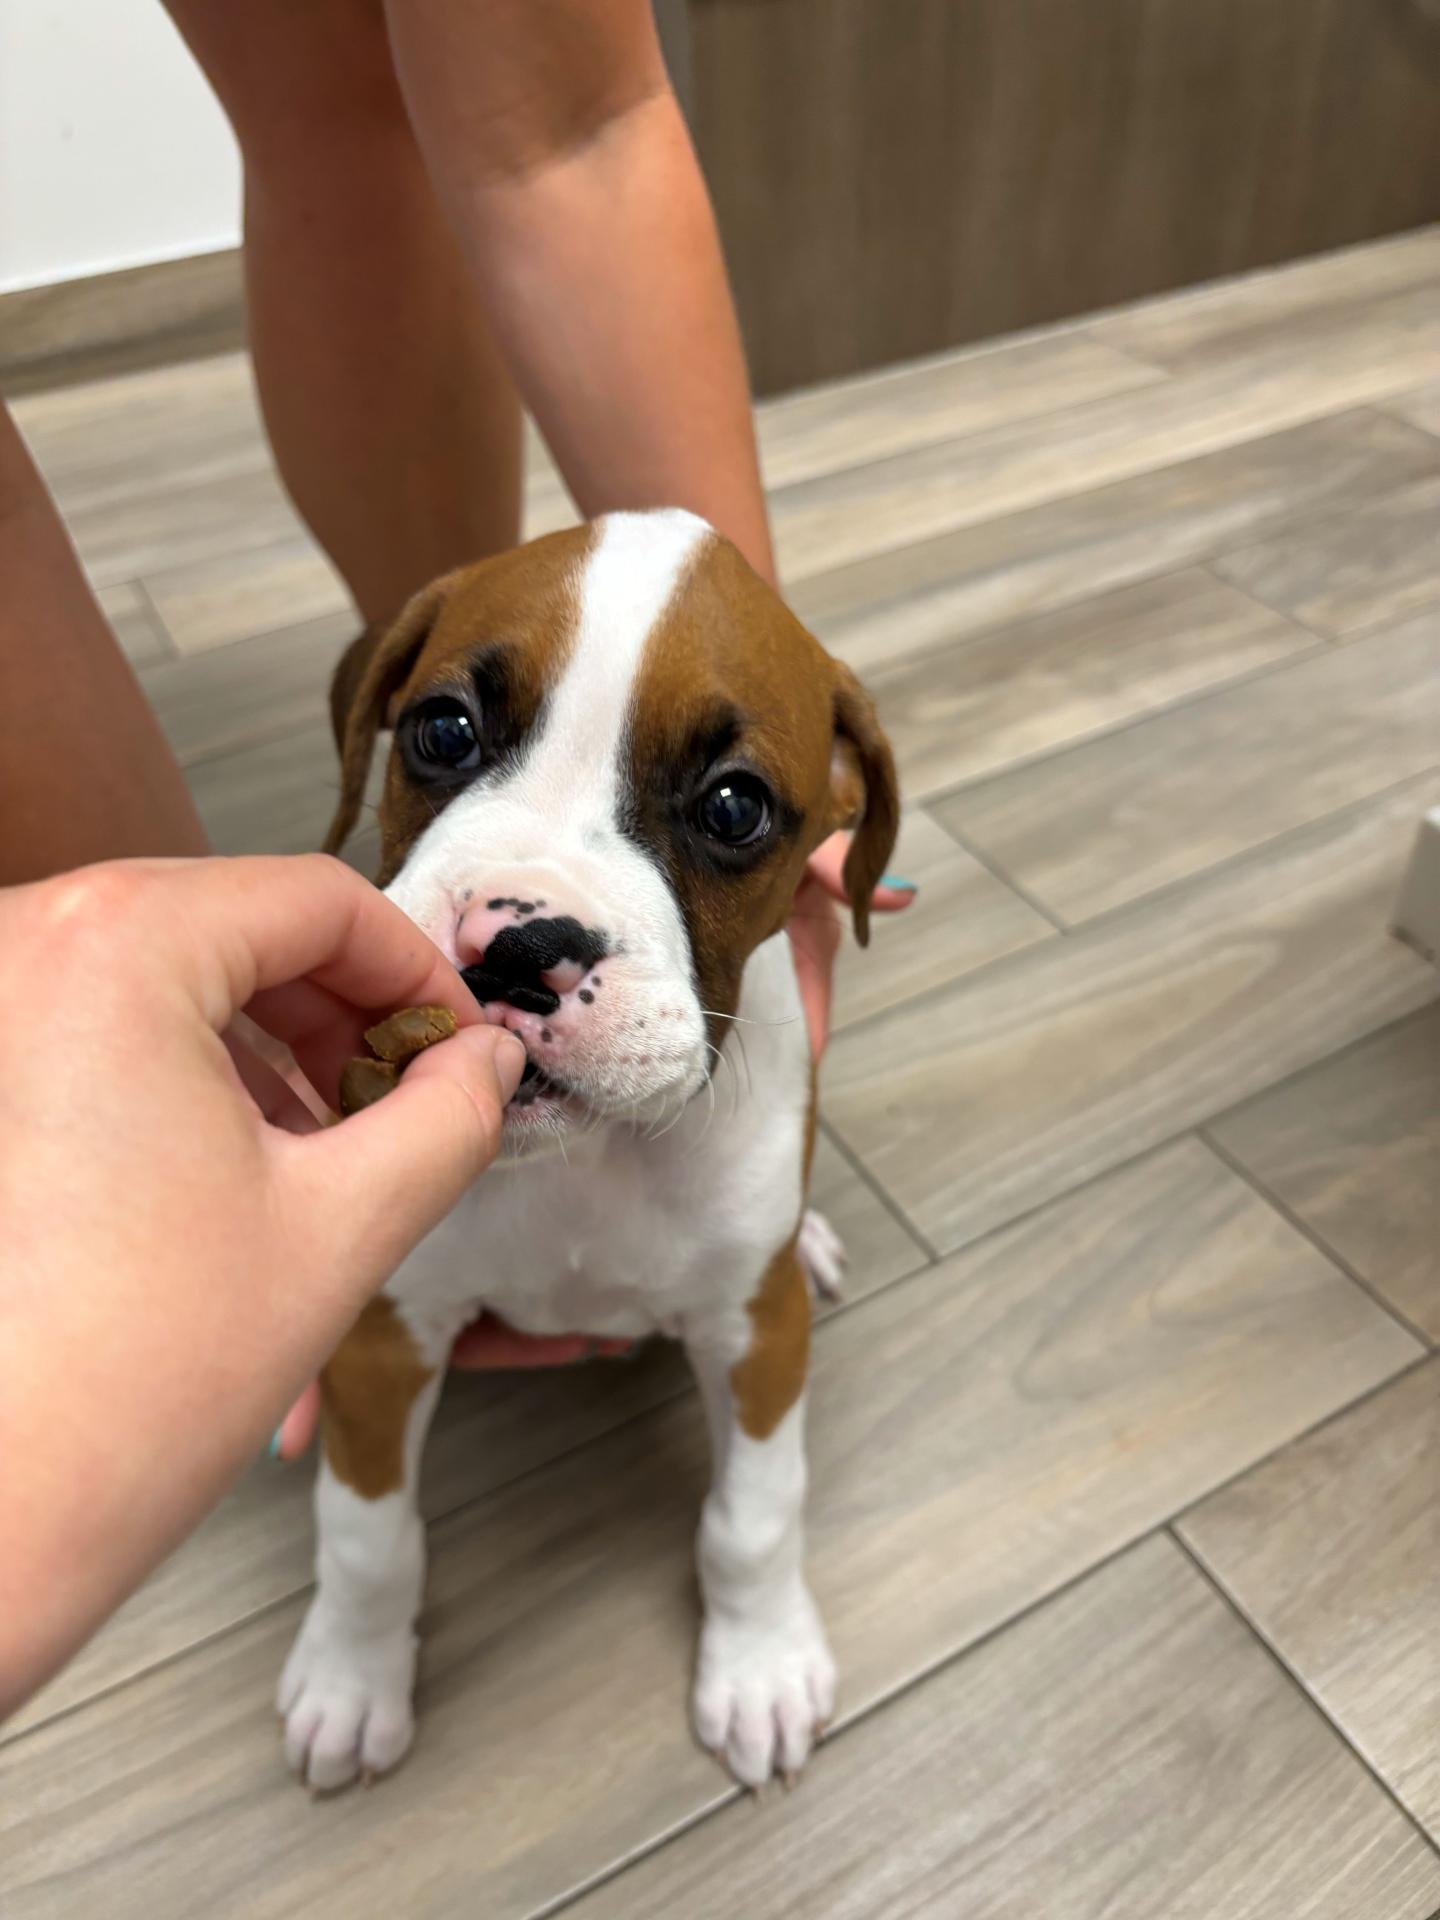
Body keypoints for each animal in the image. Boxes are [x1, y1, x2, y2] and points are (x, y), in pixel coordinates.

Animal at [278, 514, 898, 1797]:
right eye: (444, 730)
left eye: (733, 808)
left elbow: (754, 1515)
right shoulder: (381, 1334)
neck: (585, 1164)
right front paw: (351, 1681)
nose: (518, 946)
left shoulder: (753, 1332)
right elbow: (366, 1536)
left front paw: (760, 1664)